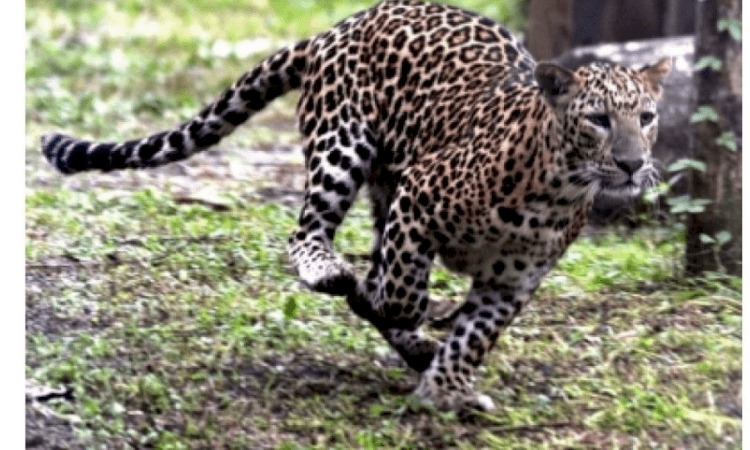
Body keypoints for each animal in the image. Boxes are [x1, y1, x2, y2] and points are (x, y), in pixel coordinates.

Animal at [41, 1, 672, 412]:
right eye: (598, 120)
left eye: (646, 117)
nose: (632, 163)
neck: (556, 188)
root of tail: (335, 29)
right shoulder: (420, 195)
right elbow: (402, 291)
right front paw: (392, 309)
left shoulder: (512, 280)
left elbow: (473, 336)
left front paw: (443, 389)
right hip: (343, 149)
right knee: (308, 235)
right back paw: (337, 278)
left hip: (381, 185)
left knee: (370, 261)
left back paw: (414, 347)